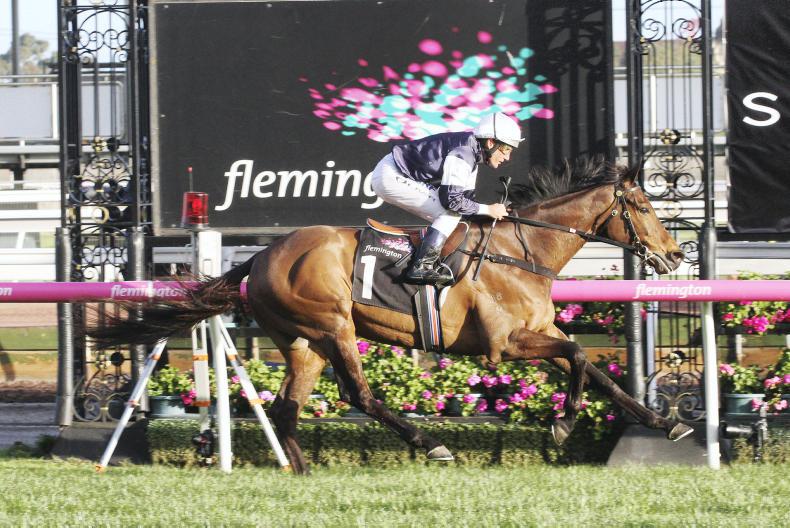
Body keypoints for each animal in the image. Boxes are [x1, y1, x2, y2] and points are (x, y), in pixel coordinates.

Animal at [91, 156, 693, 475]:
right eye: (643, 206)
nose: (674, 255)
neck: (521, 250)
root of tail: (262, 256)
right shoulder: (506, 344)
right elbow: (577, 356)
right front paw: (563, 424)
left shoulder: (538, 330)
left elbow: (592, 369)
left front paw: (667, 422)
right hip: (333, 326)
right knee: (359, 395)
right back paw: (432, 443)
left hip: (302, 343)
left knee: (287, 407)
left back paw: (301, 472)